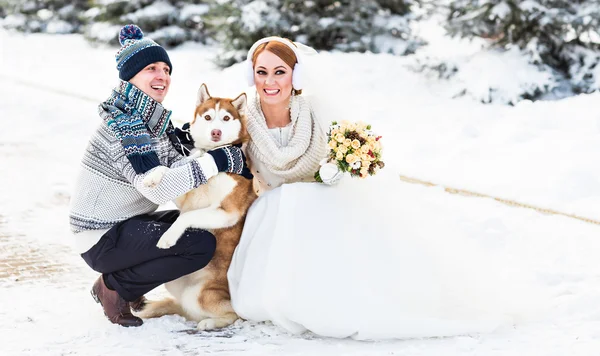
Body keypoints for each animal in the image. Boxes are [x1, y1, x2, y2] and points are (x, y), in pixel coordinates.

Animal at [138, 84, 258, 330]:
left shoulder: (227, 213)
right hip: (174, 283)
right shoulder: (186, 195)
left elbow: (186, 217)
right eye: (208, 117)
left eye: (226, 118)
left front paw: (168, 238)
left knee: (235, 315)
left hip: (198, 295)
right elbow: (170, 170)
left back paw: (209, 323)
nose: (216, 133)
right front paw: (153, 175)